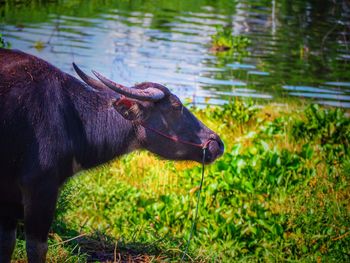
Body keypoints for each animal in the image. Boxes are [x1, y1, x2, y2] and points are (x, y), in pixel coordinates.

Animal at [0, 48, 224, 262]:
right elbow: (36, 249)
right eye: (176, 107)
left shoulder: (9, 195)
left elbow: (7, 245)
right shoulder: (40, 188)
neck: (73, 119)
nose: (217, 142)